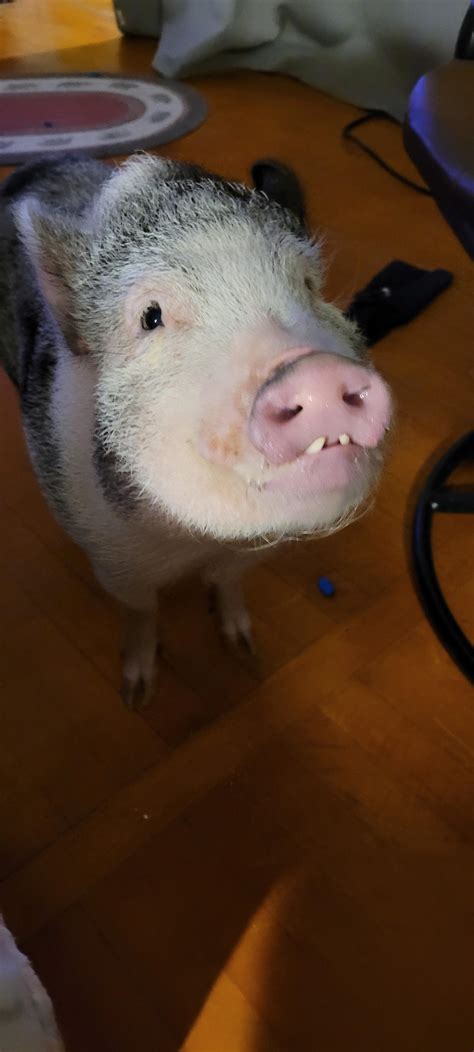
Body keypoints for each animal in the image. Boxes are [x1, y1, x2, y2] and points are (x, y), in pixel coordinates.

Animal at [0, 153, 392, 708]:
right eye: (151, 317)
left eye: (308, 287)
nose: (315, 373)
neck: (194, 541)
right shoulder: (113, 561)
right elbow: (142, 610)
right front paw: (137, 693)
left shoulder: (246, 554)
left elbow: (227, 585)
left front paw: (245, 649)